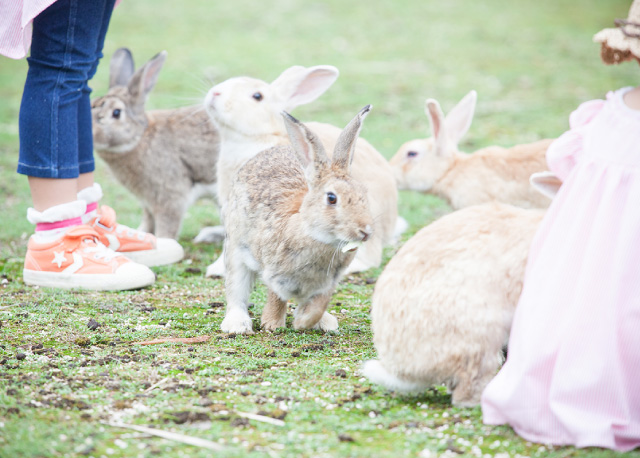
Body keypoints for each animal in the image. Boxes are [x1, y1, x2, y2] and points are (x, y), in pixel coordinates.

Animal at [90, 47, 220, 240]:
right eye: (91, 104)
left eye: (116, 113)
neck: (139, 137)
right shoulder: (148, 203)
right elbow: (148, 220)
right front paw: (141, 233)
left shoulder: (170, 197)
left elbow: (167, 225)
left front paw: (162, 242)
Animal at [220, 108, 372, 336]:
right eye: (332, 198)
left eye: (364, 193)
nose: (364, 231)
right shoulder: (275, 272)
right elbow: (277, 298)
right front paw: (272, 324)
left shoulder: (326, 284)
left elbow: (318, 305)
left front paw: (305, 321)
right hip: (235, 250)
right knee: (236, 291)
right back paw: (237, 325)